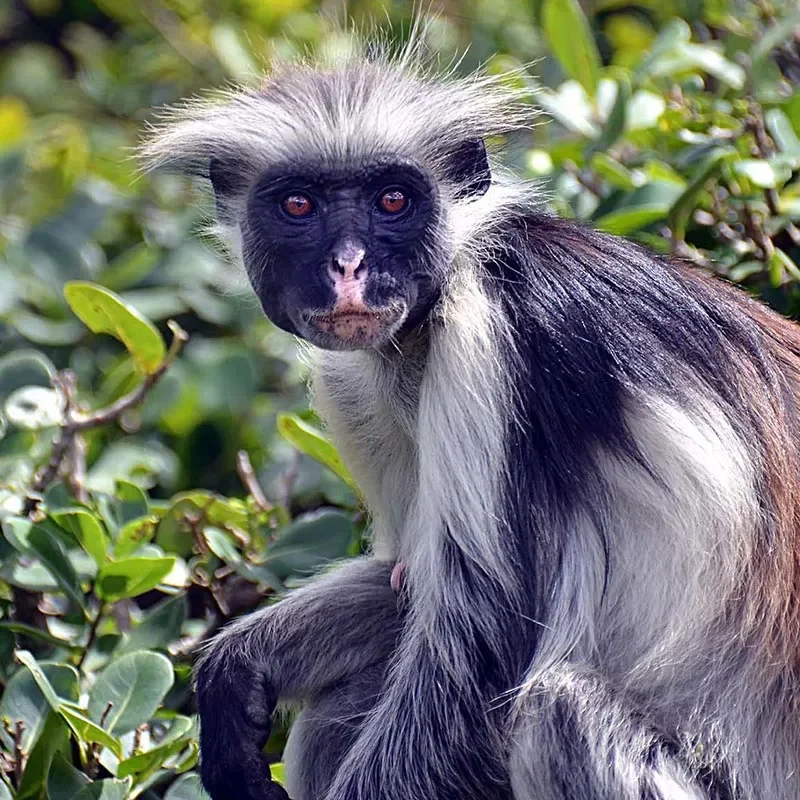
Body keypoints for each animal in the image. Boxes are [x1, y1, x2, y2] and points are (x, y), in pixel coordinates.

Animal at [143, 31, 800, 800]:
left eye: (393, 199)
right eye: (299, 206)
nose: (349, 268)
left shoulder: (493, 336)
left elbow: (479, 658)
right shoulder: (356, 384)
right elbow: (406, 585)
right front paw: (237, 668)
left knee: (556, 714)